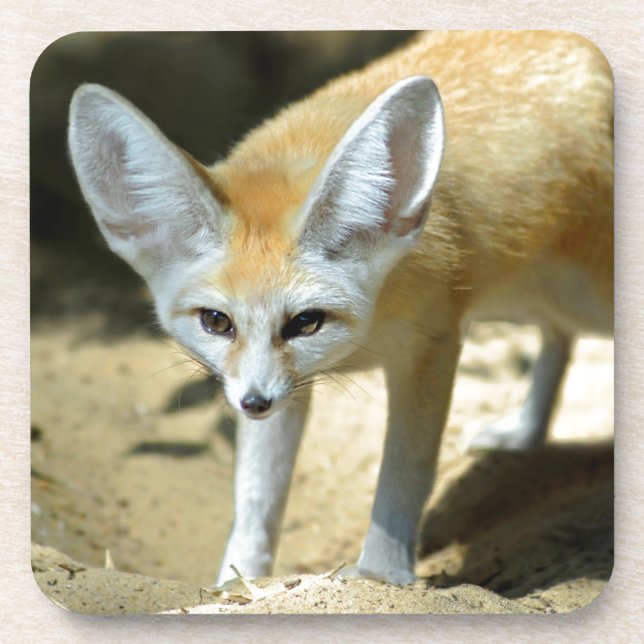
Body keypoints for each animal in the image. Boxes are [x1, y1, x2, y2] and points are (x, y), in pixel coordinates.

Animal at [67, 31, 613, 586]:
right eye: (217, 322)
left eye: (306, 322)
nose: (254, 403)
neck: (367, 333)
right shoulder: (283, 387)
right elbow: (256, 499)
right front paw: (236, 583)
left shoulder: (431, 347)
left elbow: (403, 472)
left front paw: (382, 573)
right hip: (527, 297)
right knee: (558, 334)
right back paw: (527, 431)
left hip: (583, 297)